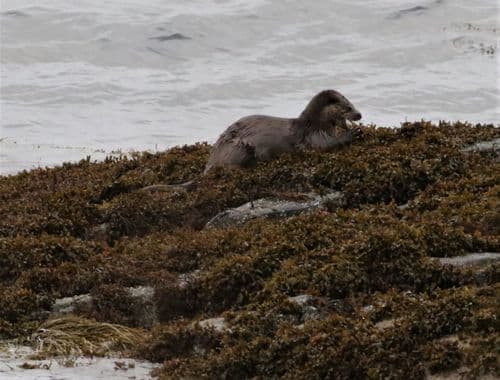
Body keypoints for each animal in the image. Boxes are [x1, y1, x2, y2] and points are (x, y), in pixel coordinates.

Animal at [143, 90, 362, 193]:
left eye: (353, 104)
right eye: (348, 107)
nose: (359, 115)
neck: (315, 123)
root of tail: (210, 163)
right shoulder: (312, 136)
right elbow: (326, 146)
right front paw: (354, 133)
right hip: (240, 148)